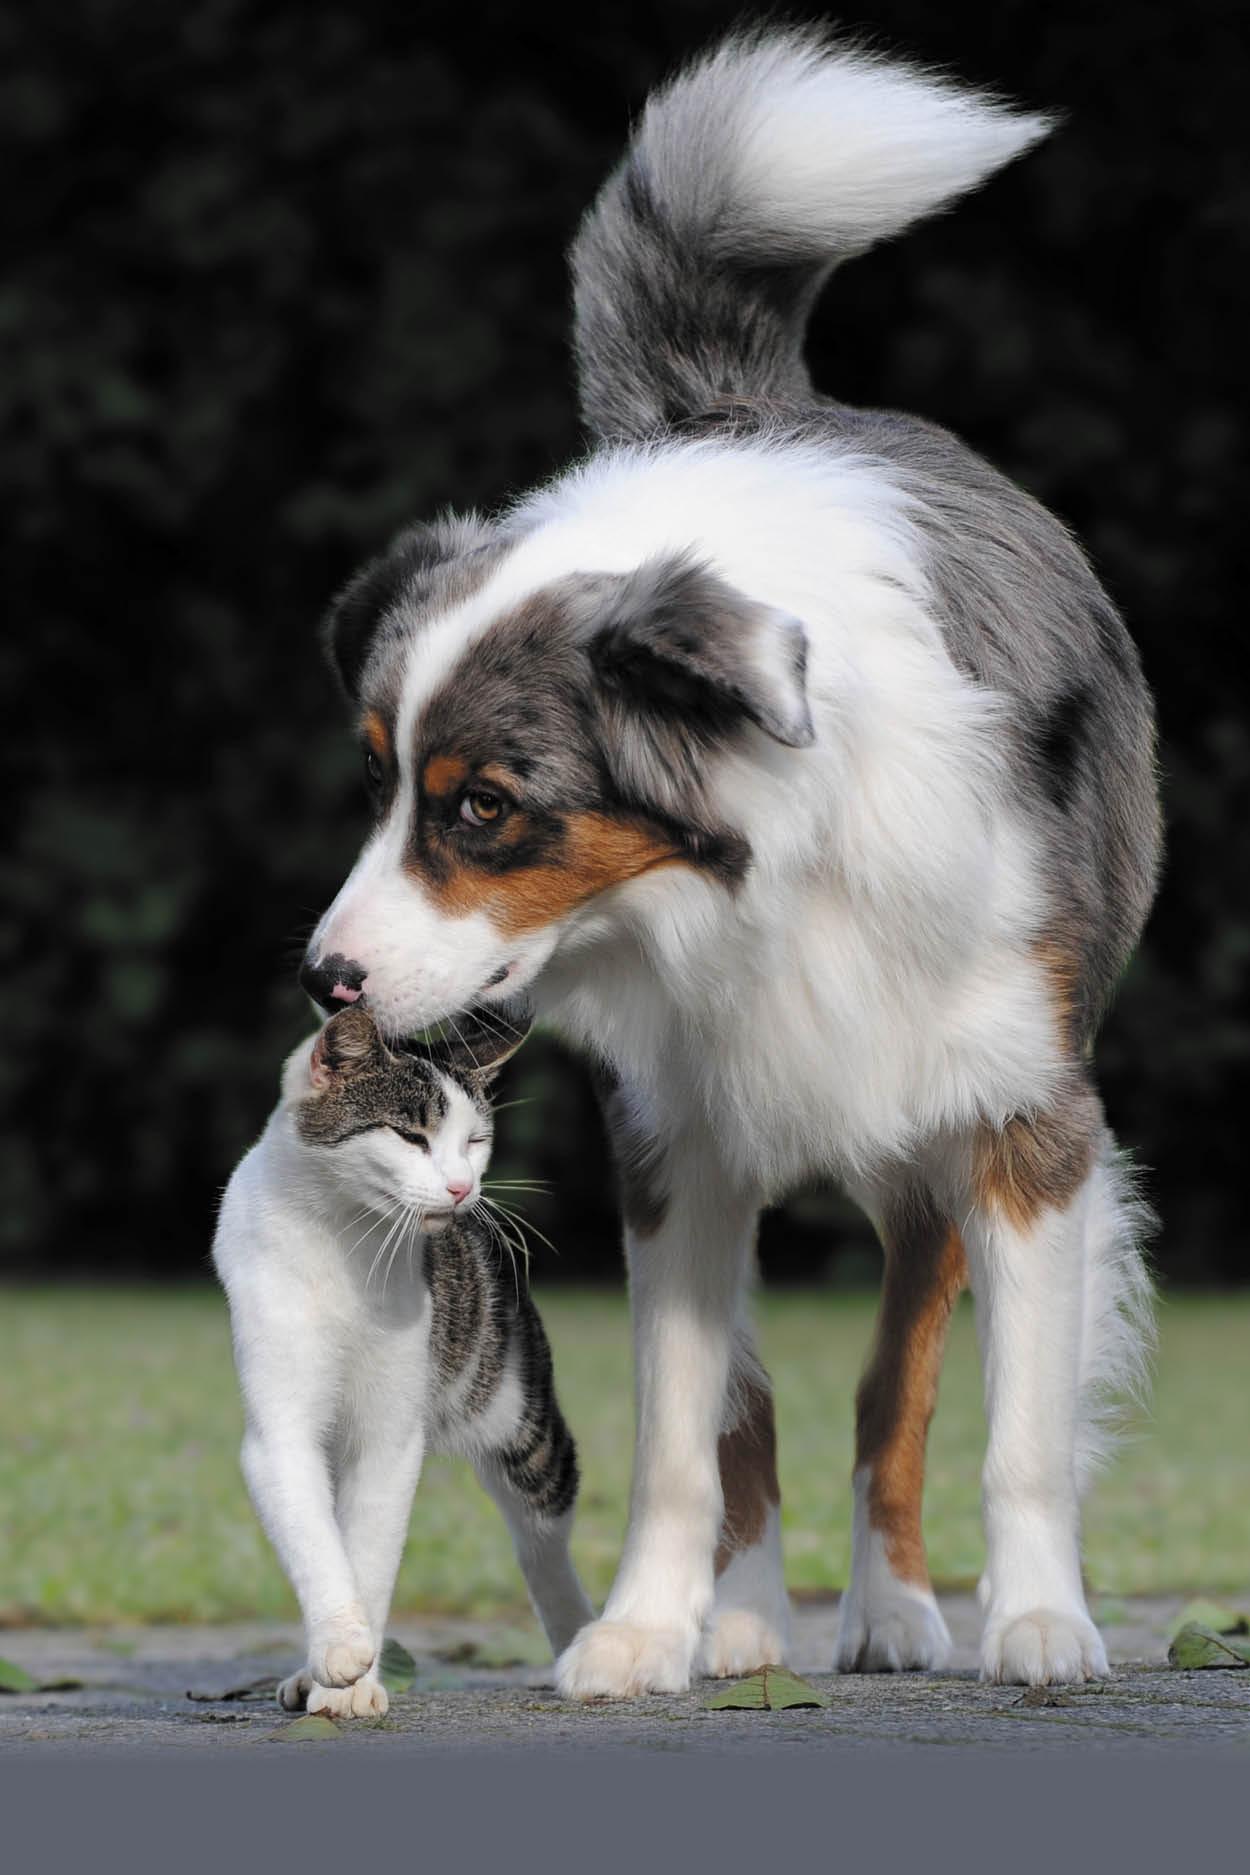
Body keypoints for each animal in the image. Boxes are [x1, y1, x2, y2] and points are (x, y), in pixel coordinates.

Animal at [212, 1005, 595, 1717]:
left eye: (476, 1139)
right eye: (411, 1135)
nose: (463, 1186)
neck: (340, 1236)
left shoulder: (391, 1432)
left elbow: (370, 1548)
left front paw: (353, 1688)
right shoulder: (279, 1425)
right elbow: (316, 1538)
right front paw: (338, 1649)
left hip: (520, 1414)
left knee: (541, 1537)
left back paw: (587, 1641)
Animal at [297, 29, 1161, 1702]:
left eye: (482, 807)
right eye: (376, 780)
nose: (324, 976)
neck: (757, 882)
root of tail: (742, 401)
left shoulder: (1020, 1112)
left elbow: (1004, 1422)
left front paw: (1037, 1620)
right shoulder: (673, 1135)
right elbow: (685, 1430)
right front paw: (646, 1625)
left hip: (913, 1144)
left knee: (894, 1378)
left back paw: (890, 1607)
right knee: (748, 1408)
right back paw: (749, 1613)